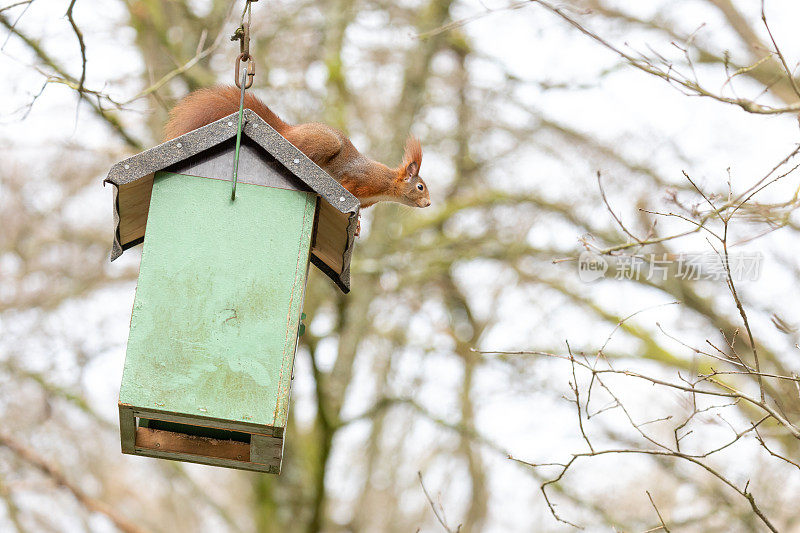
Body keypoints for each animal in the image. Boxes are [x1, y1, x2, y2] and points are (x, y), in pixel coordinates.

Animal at [162, 86, 432, 209]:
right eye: (420, 187)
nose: (429, 204)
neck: (386, 187)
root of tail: (288, 130)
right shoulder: (359, 178)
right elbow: (346, 186)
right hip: (322, 144)